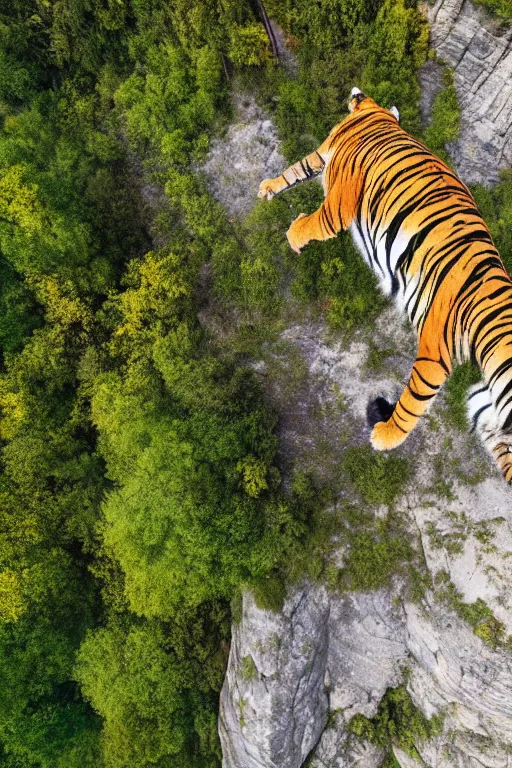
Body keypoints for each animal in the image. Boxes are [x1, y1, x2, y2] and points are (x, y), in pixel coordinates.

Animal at [258, 87, 512, 484]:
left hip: (438, 345)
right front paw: (269, 189)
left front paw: (294, 236)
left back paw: (386, 435)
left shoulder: (339, 201)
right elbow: (296, 169)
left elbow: (316, 220)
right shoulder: (322, 155)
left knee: (418, 396)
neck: (373, 116)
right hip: (485, 404)